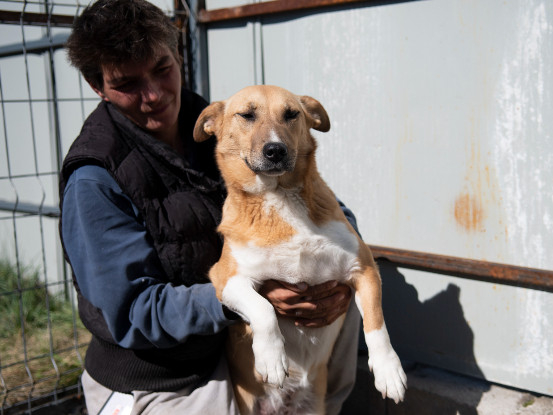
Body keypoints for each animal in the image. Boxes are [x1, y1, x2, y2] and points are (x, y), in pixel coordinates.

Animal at [193, 85, 406, 414]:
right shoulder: (225, 278)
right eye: (247, 115)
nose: (275, 150)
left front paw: (388, 371)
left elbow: (376, 322)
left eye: (291, 114)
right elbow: (263, 307)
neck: (280, 197)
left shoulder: (364, 269)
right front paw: (271, 357)